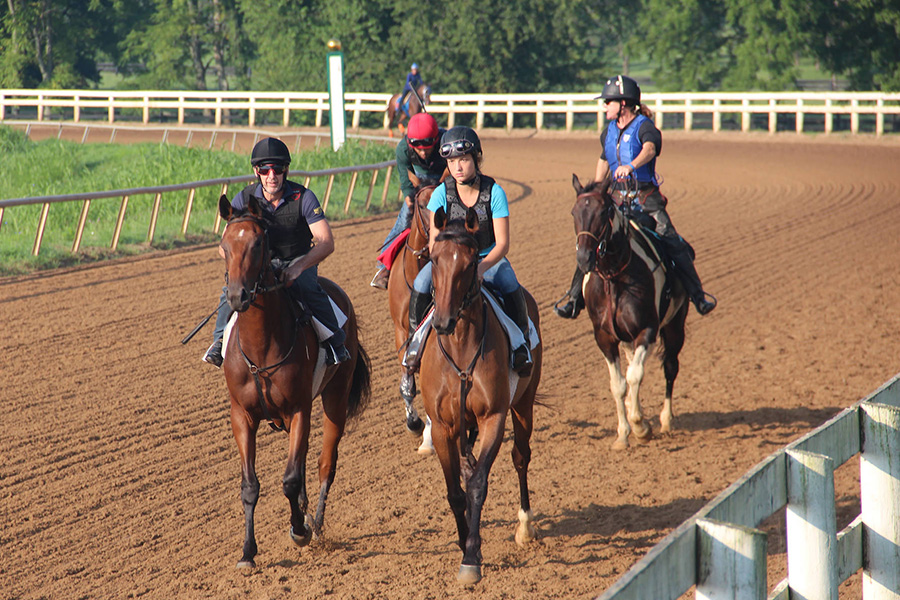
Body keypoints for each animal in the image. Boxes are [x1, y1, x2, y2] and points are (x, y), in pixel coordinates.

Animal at [217, 196, 370, 568]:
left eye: (258, 243)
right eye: (225, 246)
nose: (238, 296)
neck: (261, 348)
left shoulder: (299, 408)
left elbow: (289, 479)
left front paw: (299, 530)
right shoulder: (242, 415)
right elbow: (250, 486)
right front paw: (248, 551)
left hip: (336, 397)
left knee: (325, 463)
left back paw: (315, 522)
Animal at [420, 209, 540, 584]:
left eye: (472, 261)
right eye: (434, 258)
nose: (443, 321)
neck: (460, 348)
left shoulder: (493, 418)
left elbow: (477, 484)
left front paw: (472, 556)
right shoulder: (442, 426)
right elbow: (456, 491)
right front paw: (463, 543)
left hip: (524, 404)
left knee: (521, 456)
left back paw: (525, 527)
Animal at [568, 173, 688, 450]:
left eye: (603, 212)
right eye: (574, 212)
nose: (584, 258)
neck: (614, 277)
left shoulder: (647, 330)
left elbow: (635, 375)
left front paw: (640, 427)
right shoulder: (605, 337)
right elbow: (618, 385)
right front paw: (623, 434)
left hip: (675, 326)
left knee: (670, 366)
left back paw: (665, 420)